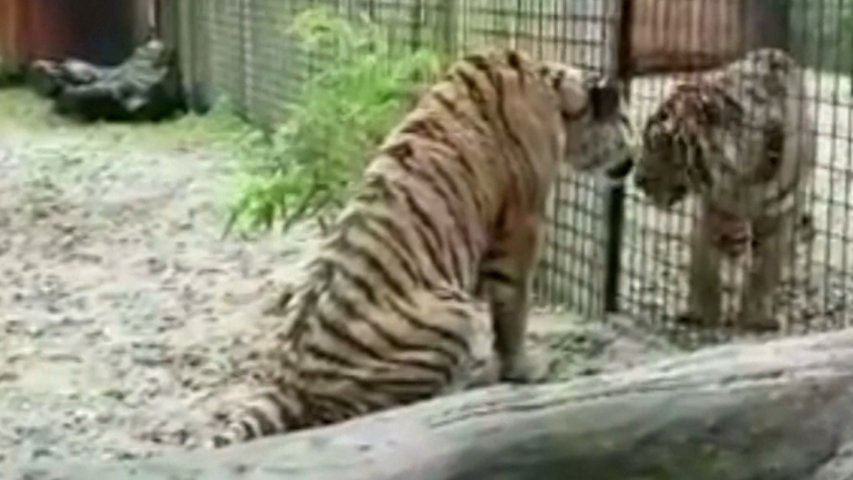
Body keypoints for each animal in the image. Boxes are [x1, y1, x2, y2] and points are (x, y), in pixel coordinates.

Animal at [207, 48, 637, 448]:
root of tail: (286, 382)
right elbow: (513, 309)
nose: (634, 160)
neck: (556, 92)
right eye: (628, 121)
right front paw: (524, 369)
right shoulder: (522, 226)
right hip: (453, 313)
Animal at [633, 47, 816, 331]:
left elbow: (764, 271)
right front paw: (702, 314)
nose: (637, 180)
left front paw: (756, 318)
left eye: (660, 142)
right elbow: (705, 267)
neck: (741, 176)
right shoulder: (714, 210)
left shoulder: (779, 215)